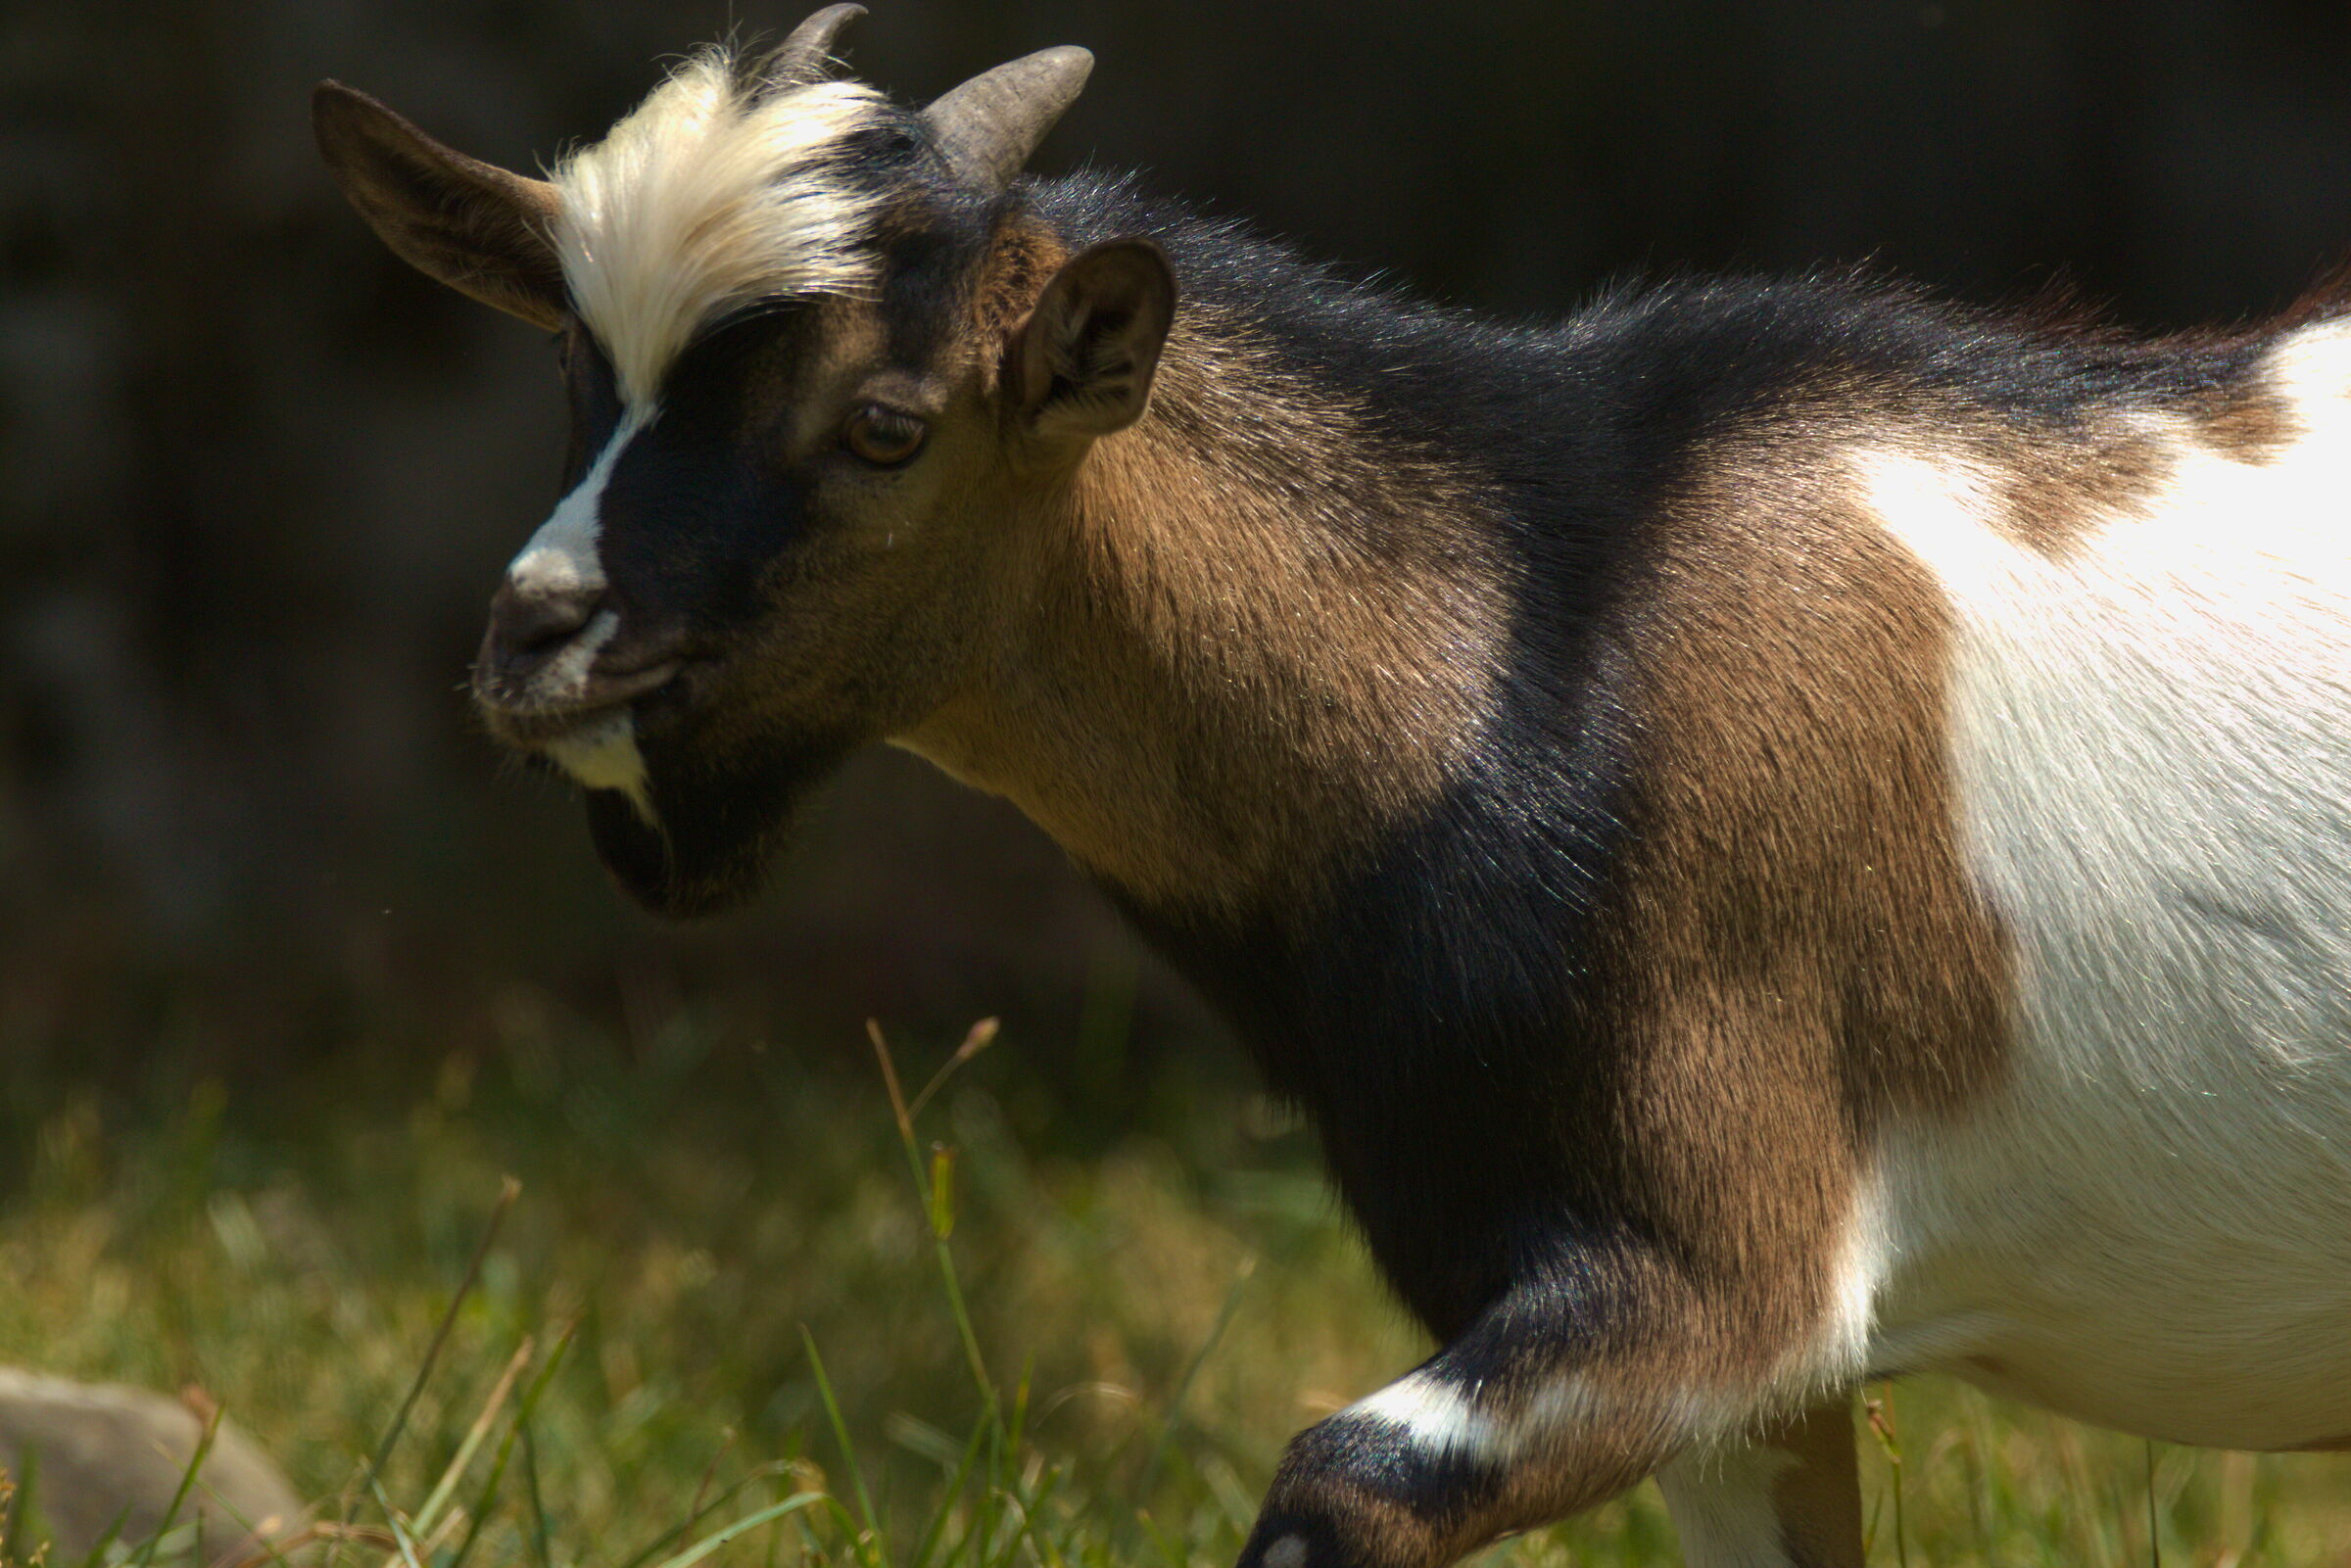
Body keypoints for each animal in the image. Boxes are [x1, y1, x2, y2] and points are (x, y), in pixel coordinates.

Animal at [315, 10, 2351, 1565]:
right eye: (580, 382)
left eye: (883, 428)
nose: (540, 639)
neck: (1538, 634)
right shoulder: (1753, 1384)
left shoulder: (1719, 1259)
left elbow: (1338, 1481)